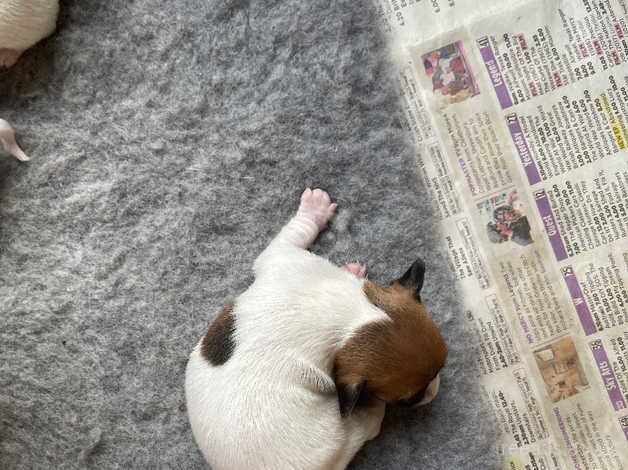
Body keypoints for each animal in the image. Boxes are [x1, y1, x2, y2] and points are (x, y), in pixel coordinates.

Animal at [184, 188, 444, 470]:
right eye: (408, 399)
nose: (434, 390)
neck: (350, 315)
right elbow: (298, 231)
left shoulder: (285, 259)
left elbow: (295, 233)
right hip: (340, 432)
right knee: (367, 425)